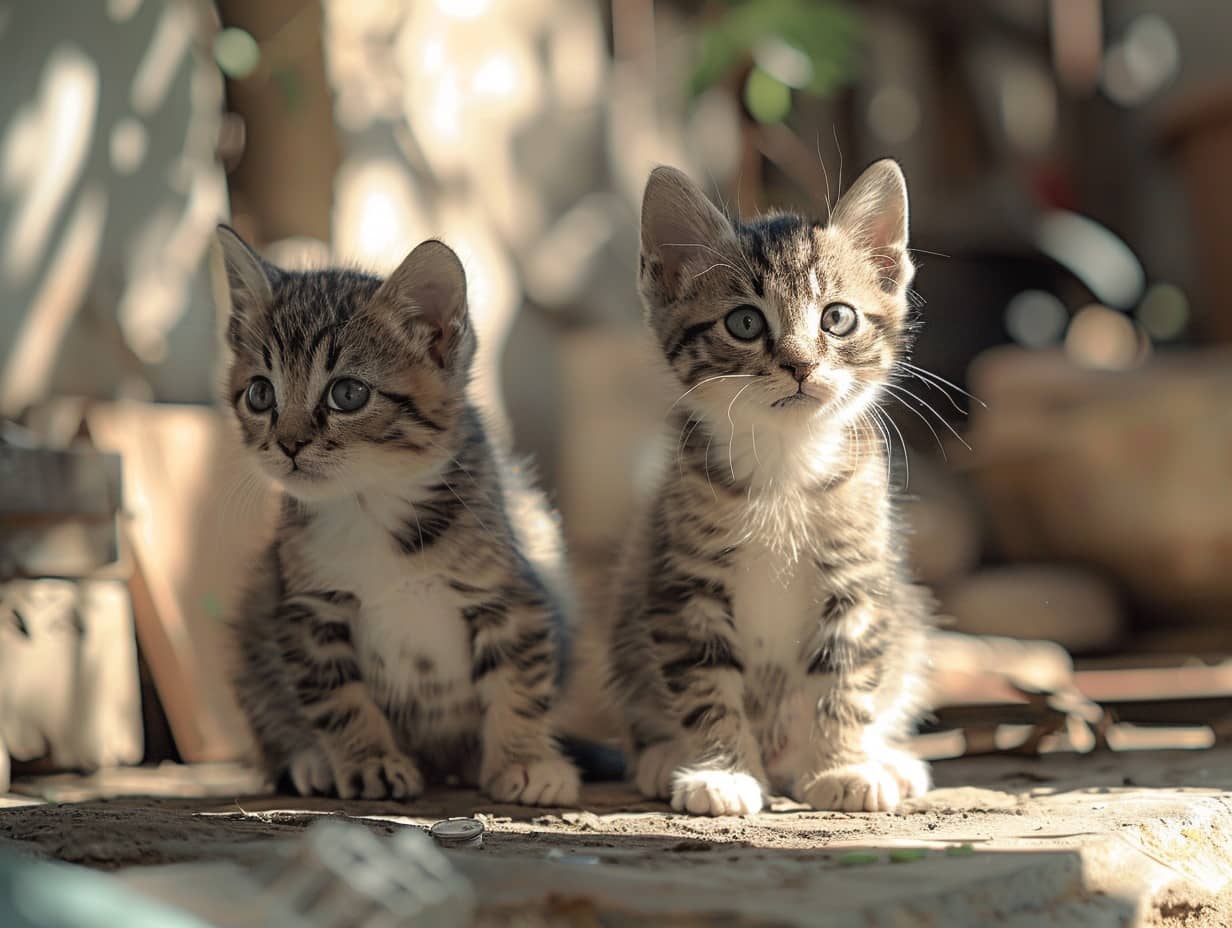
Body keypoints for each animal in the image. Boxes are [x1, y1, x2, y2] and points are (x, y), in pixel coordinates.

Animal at [218, 226, 581, 803]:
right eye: (260, 393)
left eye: (347, 393)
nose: (289, 443)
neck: (371, 503)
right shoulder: (307, 609)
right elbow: (339, 700)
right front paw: (370, 761)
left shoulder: (514, 594)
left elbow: (519, 681)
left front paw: (524, 760)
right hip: (256, 611)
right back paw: (309, 760)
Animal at [611, 162, 926, 813]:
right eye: (745, 323)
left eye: (837, 317)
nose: (801, 365)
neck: (786, 461)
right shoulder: (685, 586)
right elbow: (705, 685)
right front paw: (722, 772)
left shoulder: (856, 577)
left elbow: (846, 678)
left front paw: (842, 766)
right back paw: (664, 757)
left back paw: (883, 760)